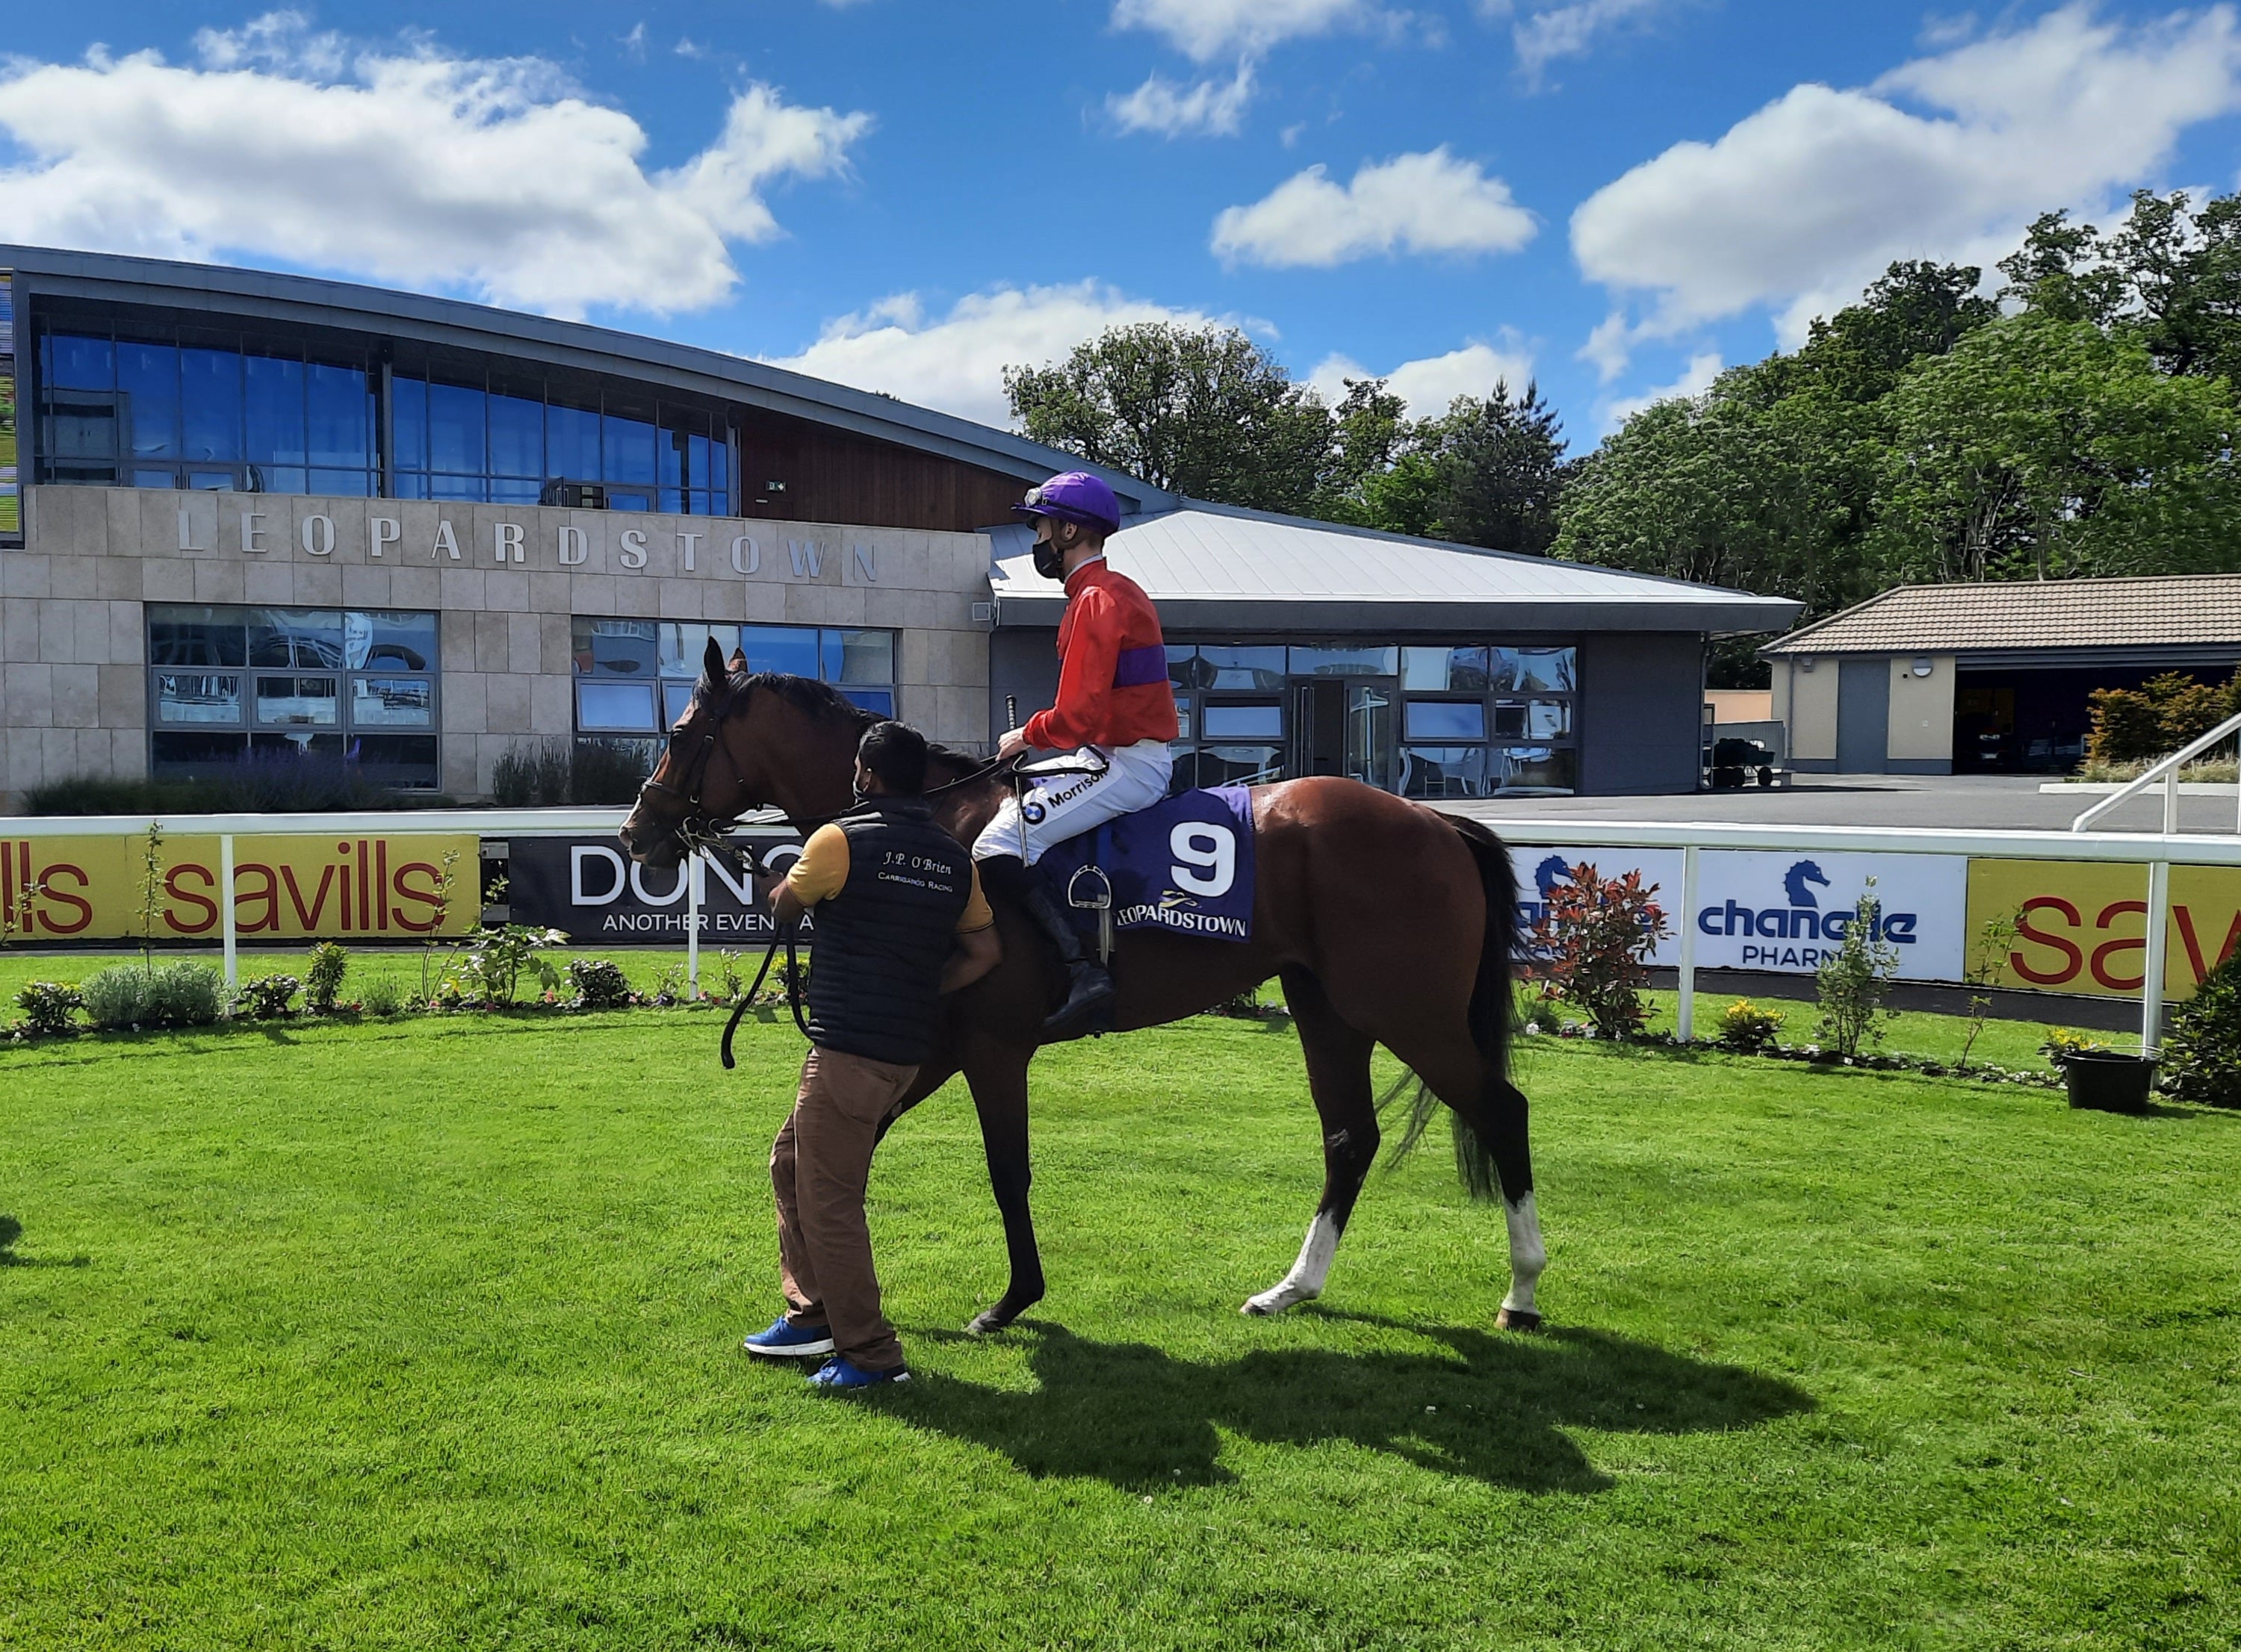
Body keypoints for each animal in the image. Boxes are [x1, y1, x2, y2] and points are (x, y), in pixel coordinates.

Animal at [623, 636, 1551, 1335]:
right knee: (1350, 1136)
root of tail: (1437, 820)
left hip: (1410, 1010)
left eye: (681, 732)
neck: (935, 821)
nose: (637, 830)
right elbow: (834, 1146)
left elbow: (1007, 1170)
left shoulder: (993, 1047)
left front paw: (1010, 1301)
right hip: (1329, 1008)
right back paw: (1291, 1288)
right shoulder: (932, 1043)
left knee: (1503, 1110)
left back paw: (1522, 1289)